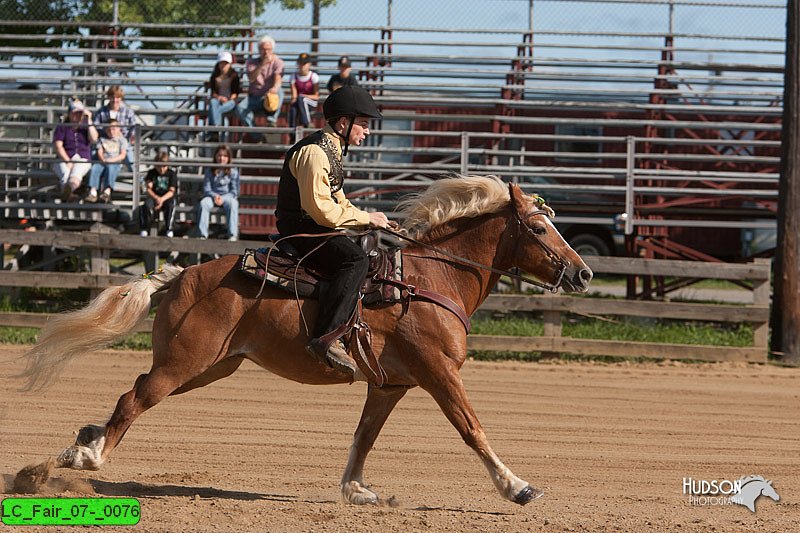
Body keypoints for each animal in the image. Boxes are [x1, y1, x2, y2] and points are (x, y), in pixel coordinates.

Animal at [21, 176, 592, 508]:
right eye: (539, 229)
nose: (584, 273)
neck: (429, 279)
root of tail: (184, 274)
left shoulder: (391, 386)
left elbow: (364, 436)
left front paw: (356, 489)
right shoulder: (439, 374)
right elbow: (472, 429)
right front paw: (517, 487)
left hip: (209, 368)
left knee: (130, 395)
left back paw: (80, 443)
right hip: (183, 365)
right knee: (133, 397)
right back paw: (86, 458)